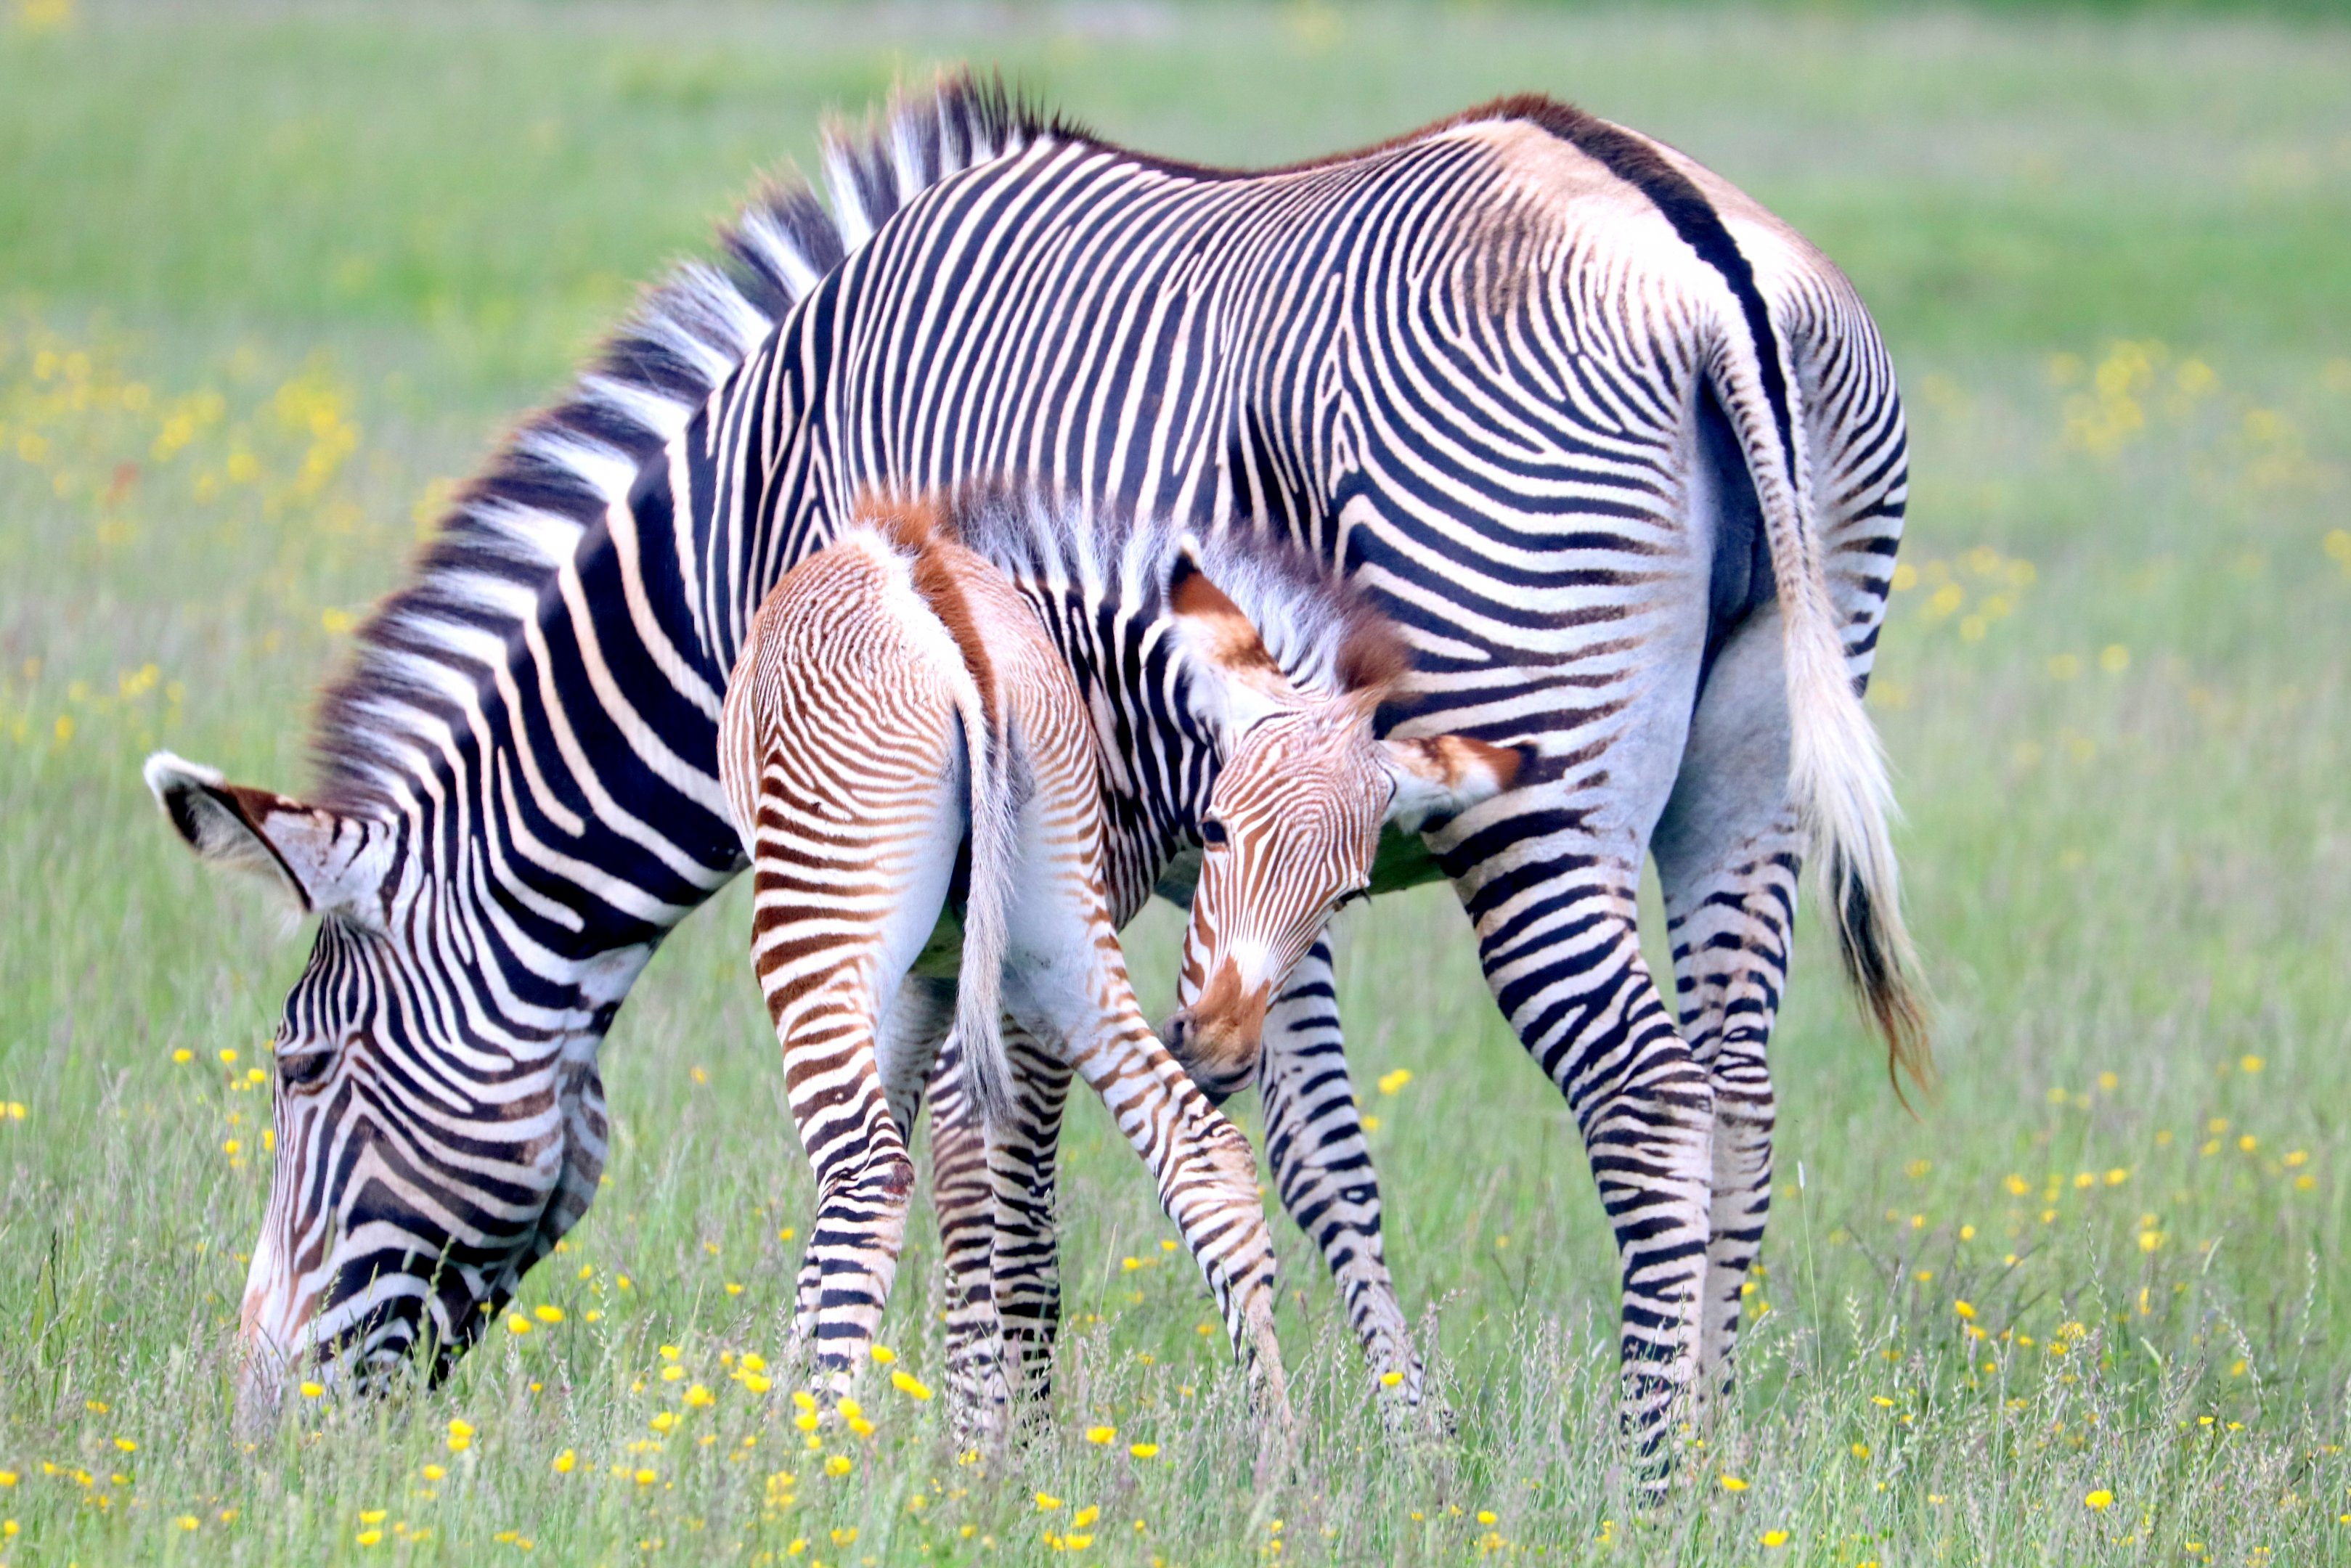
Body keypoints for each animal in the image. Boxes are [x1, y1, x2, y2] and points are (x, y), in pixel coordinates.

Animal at [713, 488, 1508, 1433]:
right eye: (1215, 831)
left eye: (1345, 896)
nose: (1222, 1050)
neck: (1117, 710)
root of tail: (947, 607)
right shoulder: (949, 975)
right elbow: (969, 1178)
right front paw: (966, 1432)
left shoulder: (967, 988)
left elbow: (974, 1191)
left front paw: (931, 1420)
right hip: (1050, 943)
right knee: (1202, 1153)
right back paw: (1275, 1450)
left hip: (836, 921)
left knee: (869, 1170)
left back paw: (818, 1442)